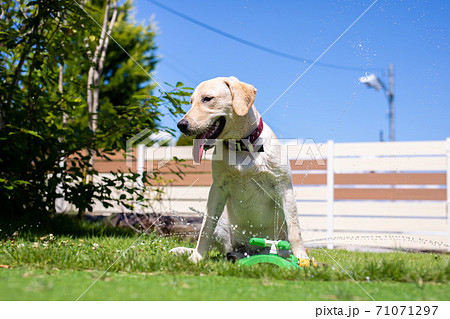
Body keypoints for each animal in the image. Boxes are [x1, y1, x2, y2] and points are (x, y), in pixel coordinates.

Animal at [170, 76, 312, 266]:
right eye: (191, 102)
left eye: (207, 99)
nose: (181, 125)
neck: (241, 147)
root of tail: (250, 250)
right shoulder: (217, 189)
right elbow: (205, 230)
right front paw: (196, 258)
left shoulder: (284, 187)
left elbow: (295, 229)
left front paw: (303, 259)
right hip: (222, 225)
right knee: (221, 244)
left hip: (275, 243)